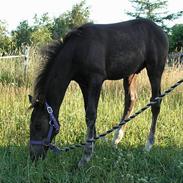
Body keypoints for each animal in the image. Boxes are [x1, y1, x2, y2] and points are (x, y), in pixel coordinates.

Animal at [29, 18, 169, 167]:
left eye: (38, 126)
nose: (33, 157)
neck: (77, 50)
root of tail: (160, 31)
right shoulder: (84, 83)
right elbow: (88, 113)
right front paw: (92, 145)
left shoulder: (96, 80)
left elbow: (91, 115)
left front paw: (86, 157)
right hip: (131, 73)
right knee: (130, 100)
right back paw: (116, 138)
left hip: (155, 69)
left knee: (155, 102)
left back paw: (148, 145)